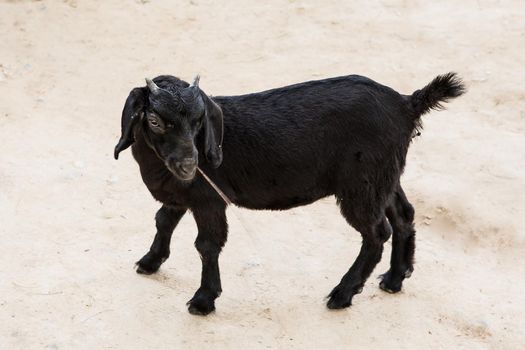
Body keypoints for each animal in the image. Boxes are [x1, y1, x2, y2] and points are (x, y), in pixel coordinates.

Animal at [113, 72, 462, 316]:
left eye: (200, 121)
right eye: (154, 120)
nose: (189, 164)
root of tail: (406, 104)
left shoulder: (209, 200)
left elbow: (207, 245)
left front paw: (203, 300)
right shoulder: (181, 195)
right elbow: (163, 221)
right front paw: (149, 262)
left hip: (362, 186)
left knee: (377, 233)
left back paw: (342, 294)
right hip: (382, 177)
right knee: (403, 213)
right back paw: (395, 278)